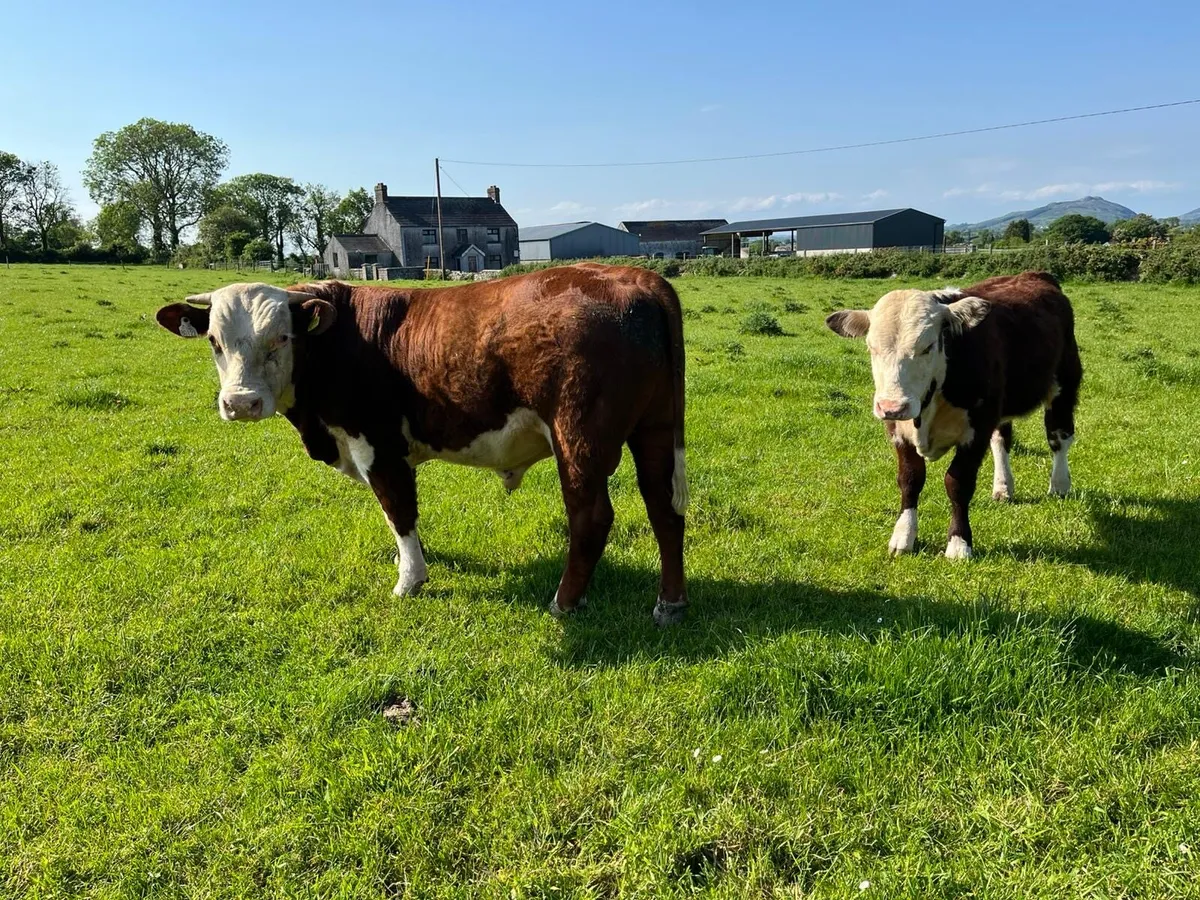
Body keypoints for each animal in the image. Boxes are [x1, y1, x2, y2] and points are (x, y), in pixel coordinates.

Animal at [155, 264, 690, 625]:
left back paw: (564, 601)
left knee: (590, 518)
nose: (240, 403)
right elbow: (403, 517)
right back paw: (670, 601)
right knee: (664, 508)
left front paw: (409, 579)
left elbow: (398, 511)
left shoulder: (377, 445)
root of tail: (637, 278)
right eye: (215, 343)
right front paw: (408, 561)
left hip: (578, 437)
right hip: (655, 429)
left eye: (281, 338)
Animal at [825, 271, 1081, 559]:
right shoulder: (898, 431)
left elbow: (958, 483)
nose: (892, 406)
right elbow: (910, 479)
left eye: (927, 347)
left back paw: (1059, 485)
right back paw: (1003, 487)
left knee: (1059, 438)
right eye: (872, 347)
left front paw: (959, 543)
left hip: (1064, 383)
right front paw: (903, 536)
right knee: (1002, 440)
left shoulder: (977, 429)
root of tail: (1034, 273)